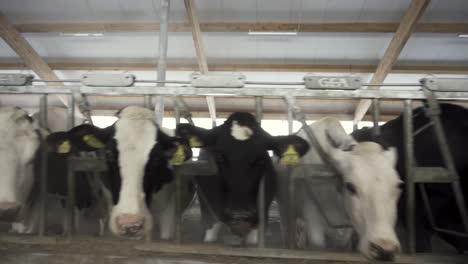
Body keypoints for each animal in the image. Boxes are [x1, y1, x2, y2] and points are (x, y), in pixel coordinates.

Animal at [174, 111, 308, 243]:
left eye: (260, 160)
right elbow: (210, 238)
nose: (240, 214)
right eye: (219, 157)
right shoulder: (208, 210)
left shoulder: (260, 215)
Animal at [274, 118, 402, 262]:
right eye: (350, 186)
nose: (384, 249)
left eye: (398, 185)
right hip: (284, 208)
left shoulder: (348, 226)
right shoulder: (312, 218)